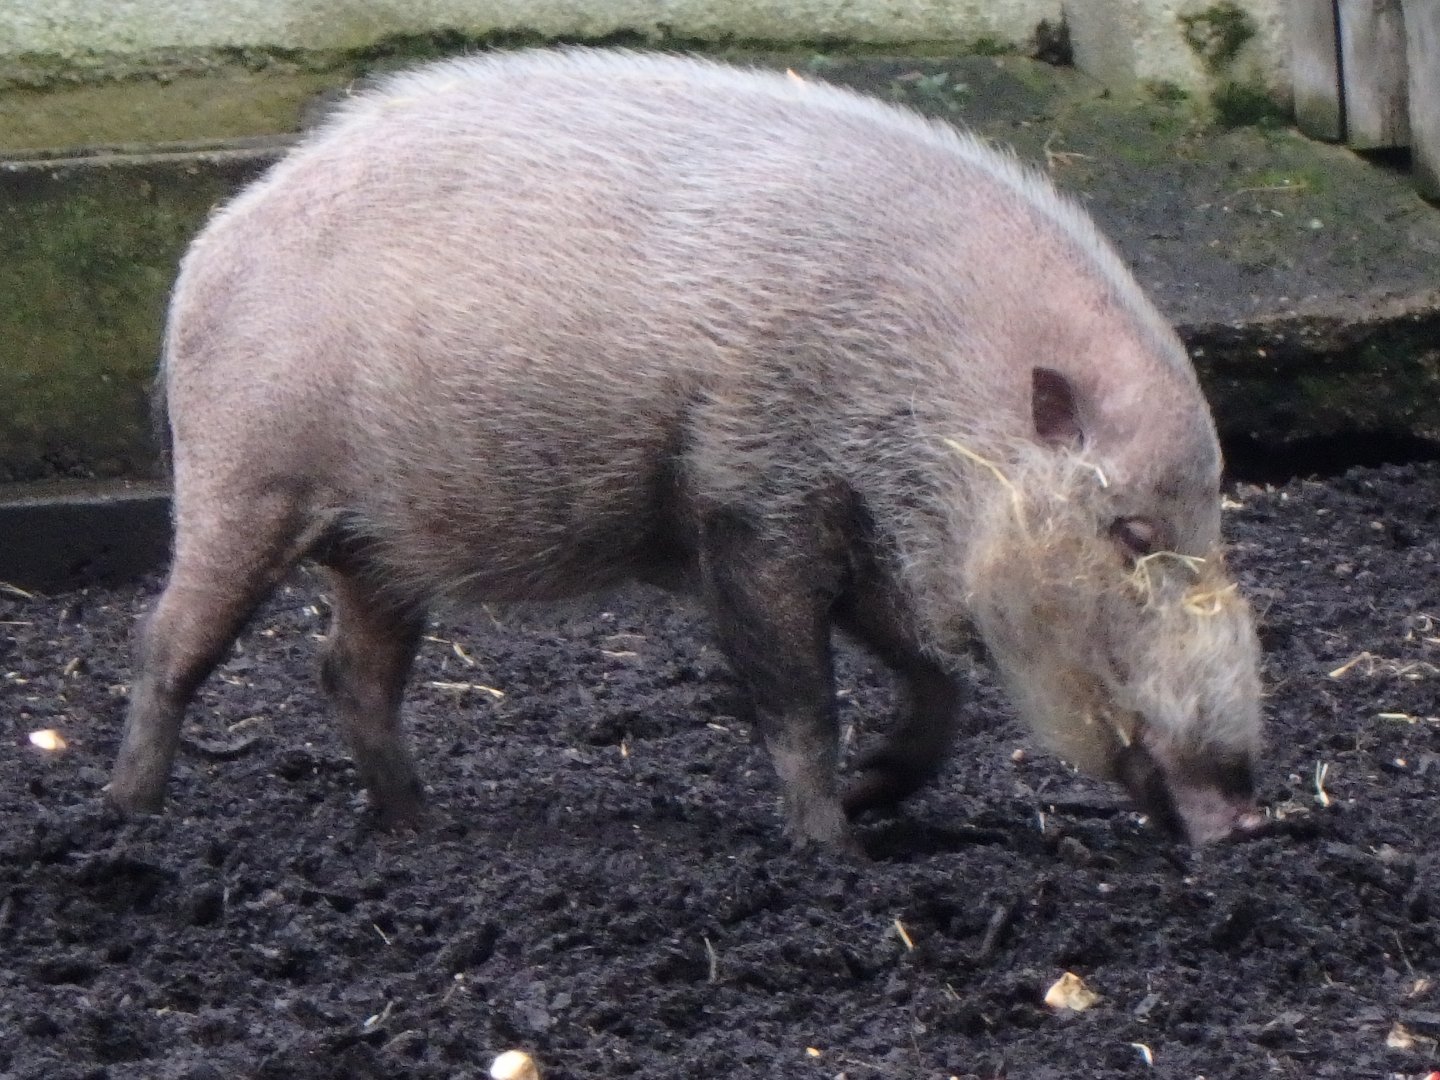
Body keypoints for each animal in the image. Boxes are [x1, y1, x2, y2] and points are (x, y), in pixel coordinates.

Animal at [106, 47, 1264, 849]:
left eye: (1214, 517)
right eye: (1130, 531)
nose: (1247, 804)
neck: (924, 404)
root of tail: (203, 254)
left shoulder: (862, 539)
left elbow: (934, 687)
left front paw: (873, 797)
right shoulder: (748, 503)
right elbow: (799, 700)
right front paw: (835, 849)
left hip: (381, 547)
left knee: (348, 672)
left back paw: (423, 827)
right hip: (243, 479)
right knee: (169, 643)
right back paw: (129, 814)